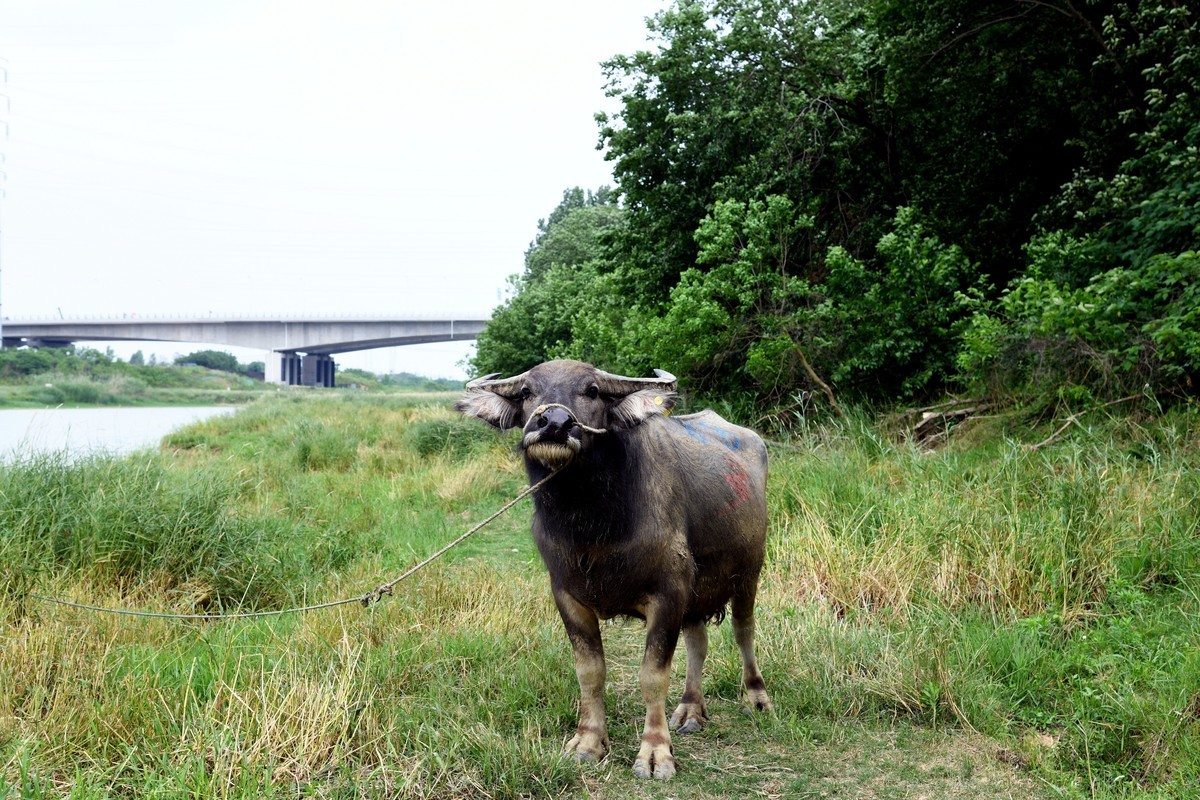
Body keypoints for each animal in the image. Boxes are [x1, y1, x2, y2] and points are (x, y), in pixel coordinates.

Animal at [453, 359, 772, 777]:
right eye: (526, 392)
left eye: (592, 390)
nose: (554, 423)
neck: (591, 524)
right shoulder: (567, 595)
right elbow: (590, 672)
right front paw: (588, 742)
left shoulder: (668, 593)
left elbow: (652, 676)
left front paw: (654, 753)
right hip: (697, 590)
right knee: (698, 643)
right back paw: (690, 710)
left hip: (749, 572)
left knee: (743, 630)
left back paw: (757, 696)